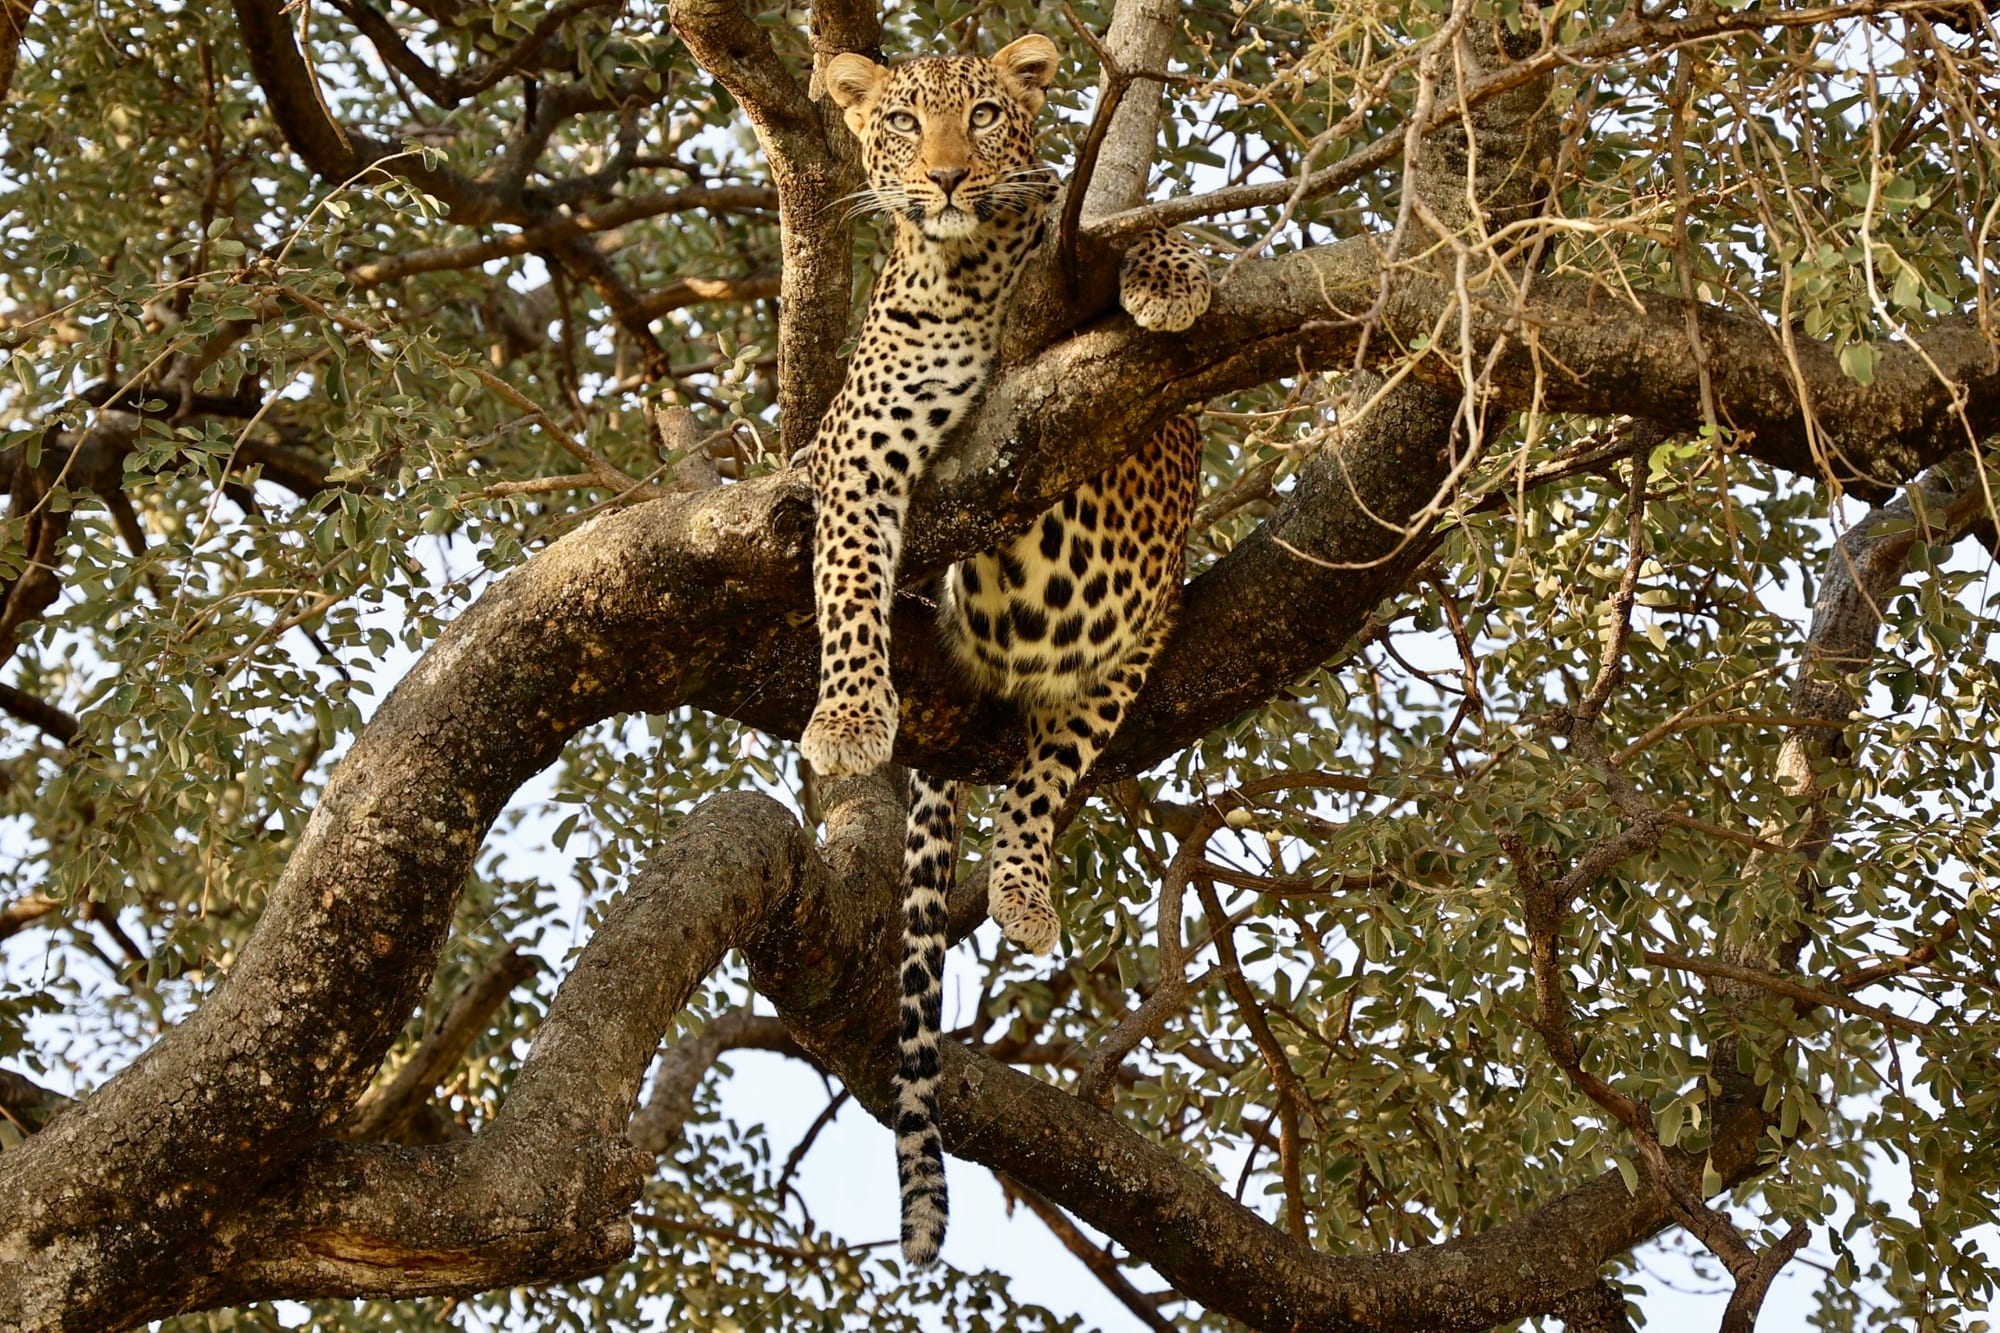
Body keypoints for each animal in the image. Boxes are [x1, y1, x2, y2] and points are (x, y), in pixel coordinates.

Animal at [806, 36, 1212, 1267]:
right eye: (900, 122)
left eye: (986, 115)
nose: (944, 178)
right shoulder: (858, 450)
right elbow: (846, 589)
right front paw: (849, 719)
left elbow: (1125, 235)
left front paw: (1170, 274)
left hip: (1138, 637)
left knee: (1044, 778)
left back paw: (1028, 888)